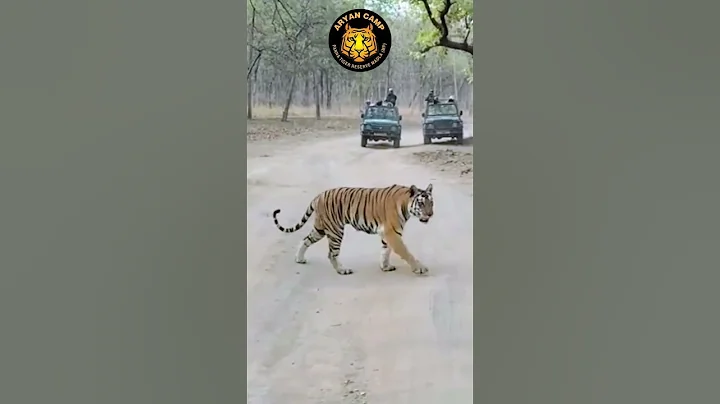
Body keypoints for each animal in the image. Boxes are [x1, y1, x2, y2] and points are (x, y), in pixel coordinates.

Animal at [272, 184, 434, 275]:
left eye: (431, 203)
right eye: (421, 203)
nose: (430, 214)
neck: (406, 204)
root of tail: (319, 196)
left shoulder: (387, 233)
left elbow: (385, 250)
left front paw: (385, 266)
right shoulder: (392, 232)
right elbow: (406, 253)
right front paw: (420, 268)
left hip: (320, 228)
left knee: (306, 240)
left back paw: (299, 258)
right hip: (335, 230)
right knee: (332, 254)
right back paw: (342, 270)